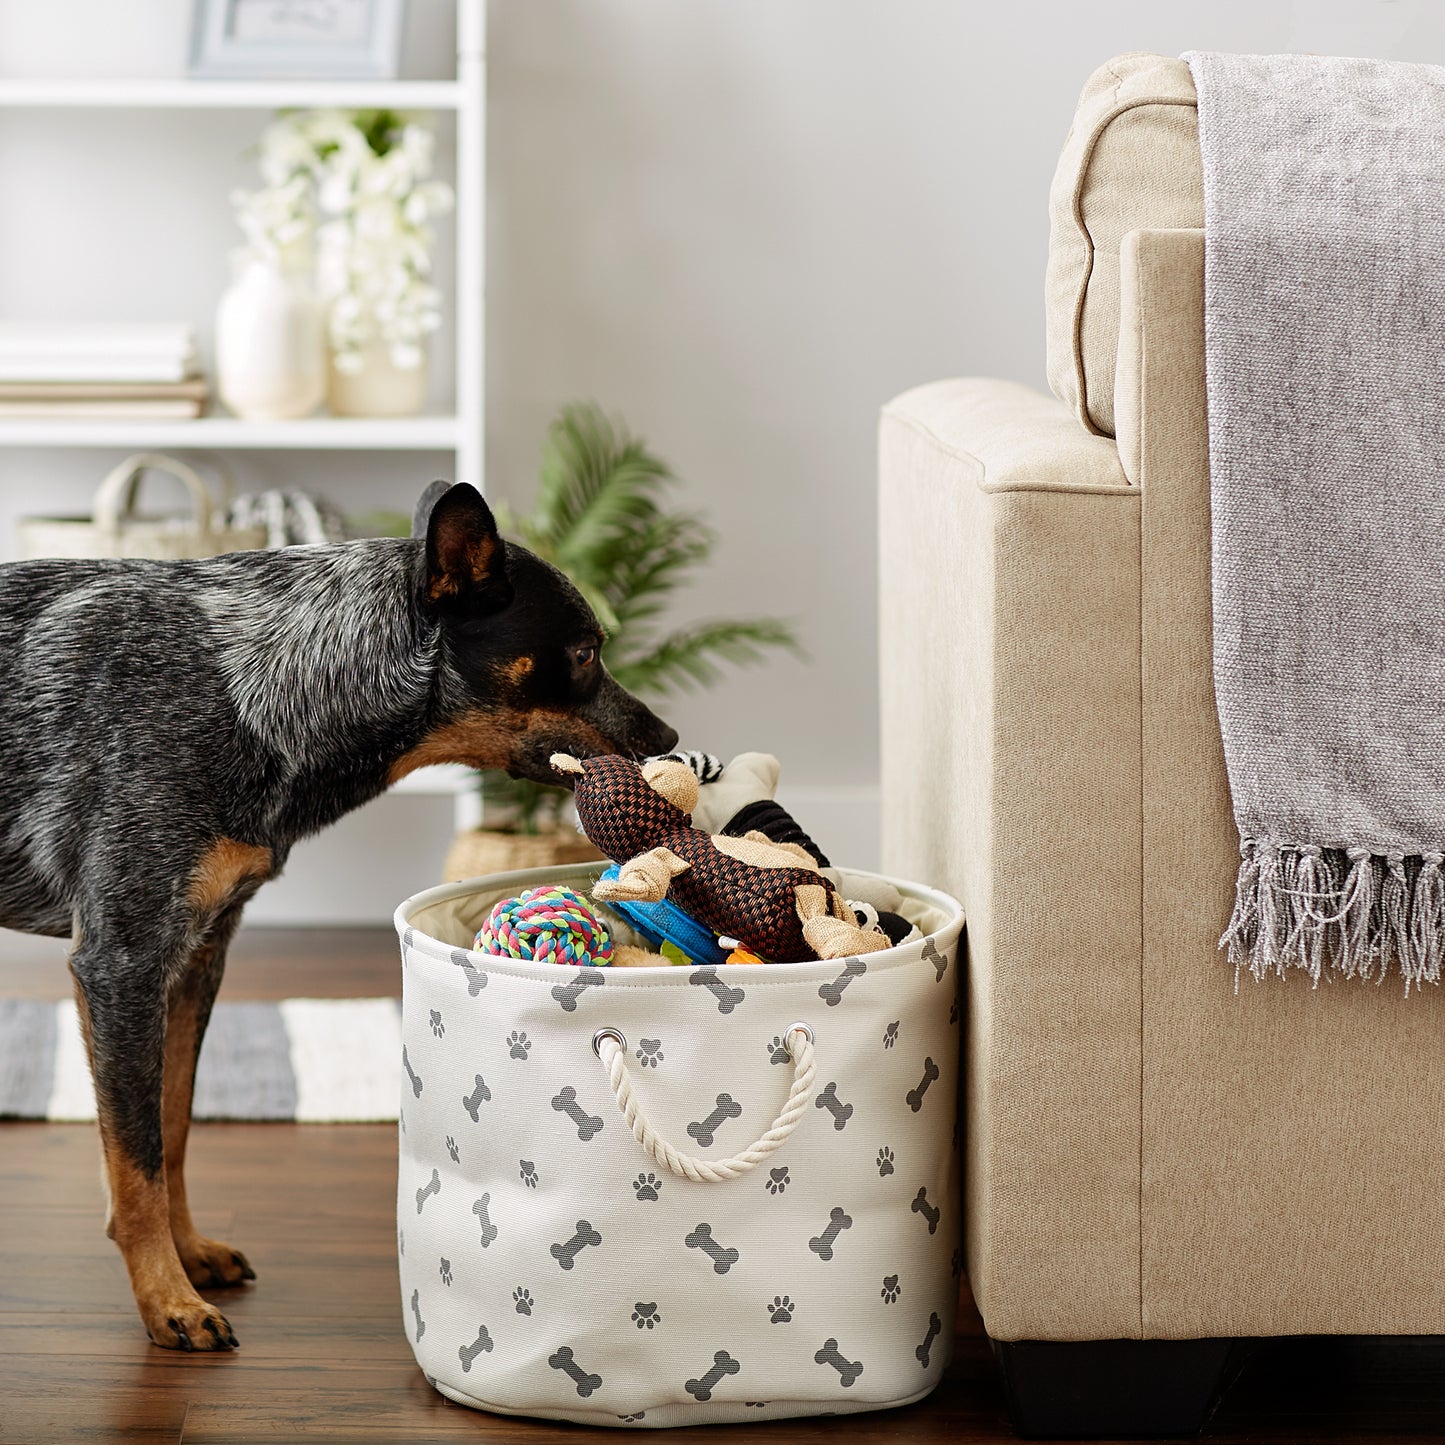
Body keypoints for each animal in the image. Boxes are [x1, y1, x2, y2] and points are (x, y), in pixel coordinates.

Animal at [1, 479, 676, 1346]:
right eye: (587, 651)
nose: (670, 737)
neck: (247, 683)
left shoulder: (197, 955)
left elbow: (174, 1127)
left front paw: (188, 1253)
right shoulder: (121, 960)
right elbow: (138, 1160)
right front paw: (166, 1298)